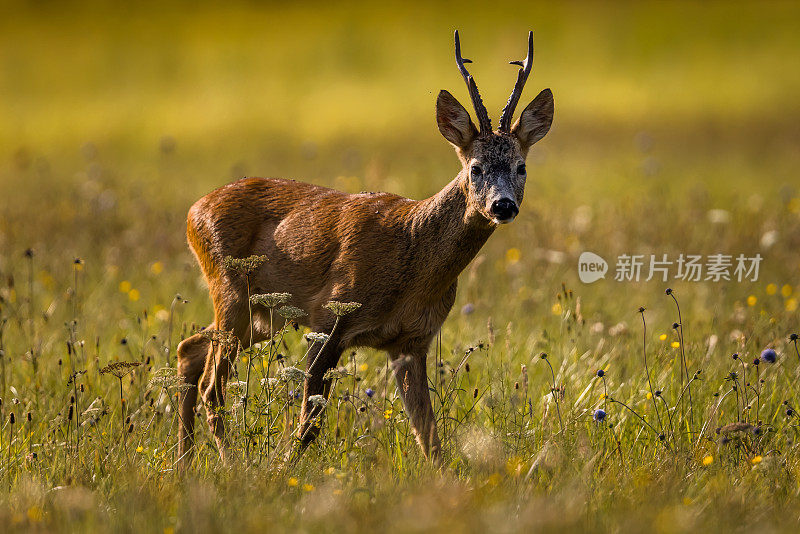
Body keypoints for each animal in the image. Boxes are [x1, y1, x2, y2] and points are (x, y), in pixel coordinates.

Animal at [176, 31, 552, 466]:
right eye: (475, 167)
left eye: (521, 167)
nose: (502, 205)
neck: (412, 257)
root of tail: (193, 210)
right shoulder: (329, 318)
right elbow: (310, 423)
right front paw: (283, 470)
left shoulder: (412, 341)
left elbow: (428, 434)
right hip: (231, 291)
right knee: (212, 388)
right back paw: (230, 464)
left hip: (263, 315)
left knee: (189, 349)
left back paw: (182, 462)